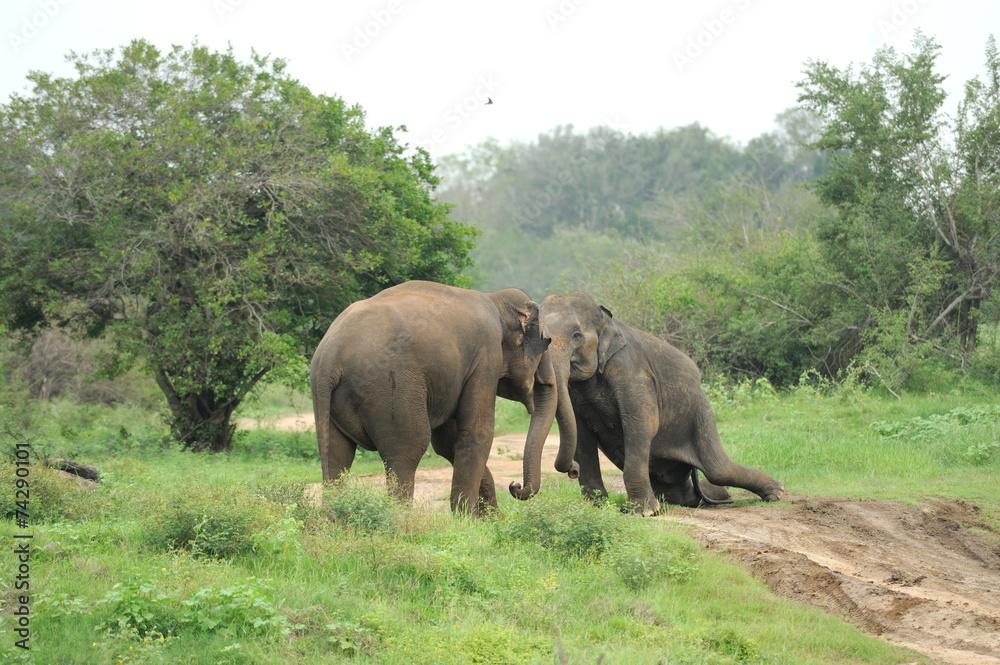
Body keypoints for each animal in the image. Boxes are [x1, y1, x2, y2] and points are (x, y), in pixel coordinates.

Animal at [310, 280, 575, 516]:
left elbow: (449, 441)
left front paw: (493, 521)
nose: (515, 486)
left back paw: (336, 518)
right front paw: (466, 522)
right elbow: (476, 433)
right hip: (391, 388)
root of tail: (329, 356)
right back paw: (400, 522)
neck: (494, 298)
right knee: (406, 450)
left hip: (330, 399)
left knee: (336, 454)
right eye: (547, 342)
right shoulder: (487, 355)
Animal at [513, 291, 784, 514]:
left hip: (702, 412)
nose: (572, 469)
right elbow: (581, 435)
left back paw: (776, 492)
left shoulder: (632, 371)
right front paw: (597, 509)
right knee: (680, 488)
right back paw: (722, 494)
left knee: (718, 468)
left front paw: (645, 513)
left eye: (577, 335)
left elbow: (642, 423)